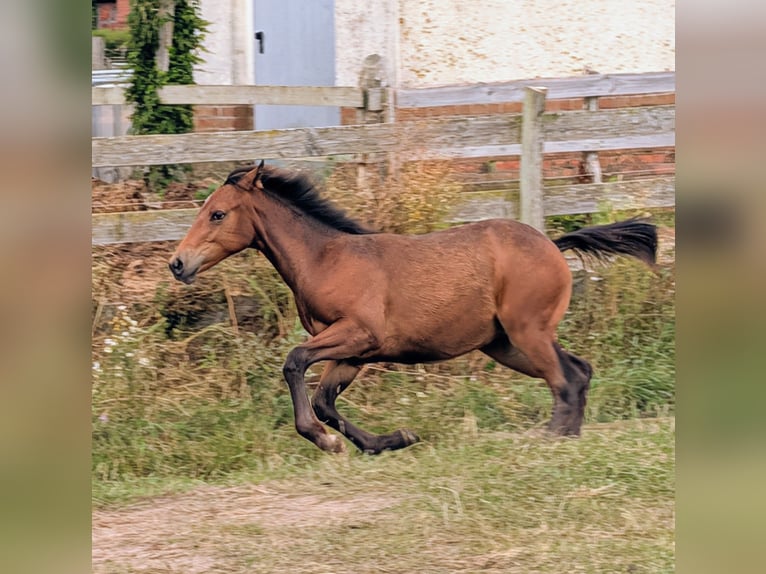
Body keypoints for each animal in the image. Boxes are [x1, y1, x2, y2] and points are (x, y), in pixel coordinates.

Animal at [169, 161, 657, 454]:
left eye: (217, 214)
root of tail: (554, 246)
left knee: (565, 381)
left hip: (526, 332)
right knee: (579, 370)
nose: (178, 263)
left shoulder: (357, 334)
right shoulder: (353, 354)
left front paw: (325, 442)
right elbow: (325, 401)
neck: (326, 259)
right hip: (506, 344)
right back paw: (569, 437)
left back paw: (551, 440)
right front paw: (392, 439)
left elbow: (294, 363)